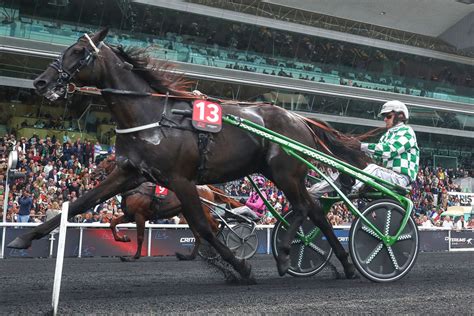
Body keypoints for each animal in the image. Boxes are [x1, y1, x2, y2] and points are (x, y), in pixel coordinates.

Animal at [9, 28, 368, 282]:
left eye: (79, 52)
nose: (41, 82)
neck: (151, 116)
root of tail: (300, 119)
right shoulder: (131, 173)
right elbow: (81, 203)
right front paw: (23, 239)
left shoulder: (181, 179)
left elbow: (203, 227)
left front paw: (241, 268)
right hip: (277, 173)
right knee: (315, 211)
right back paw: (346, 265)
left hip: (285, 172)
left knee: (304, 208)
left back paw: (284, 253)